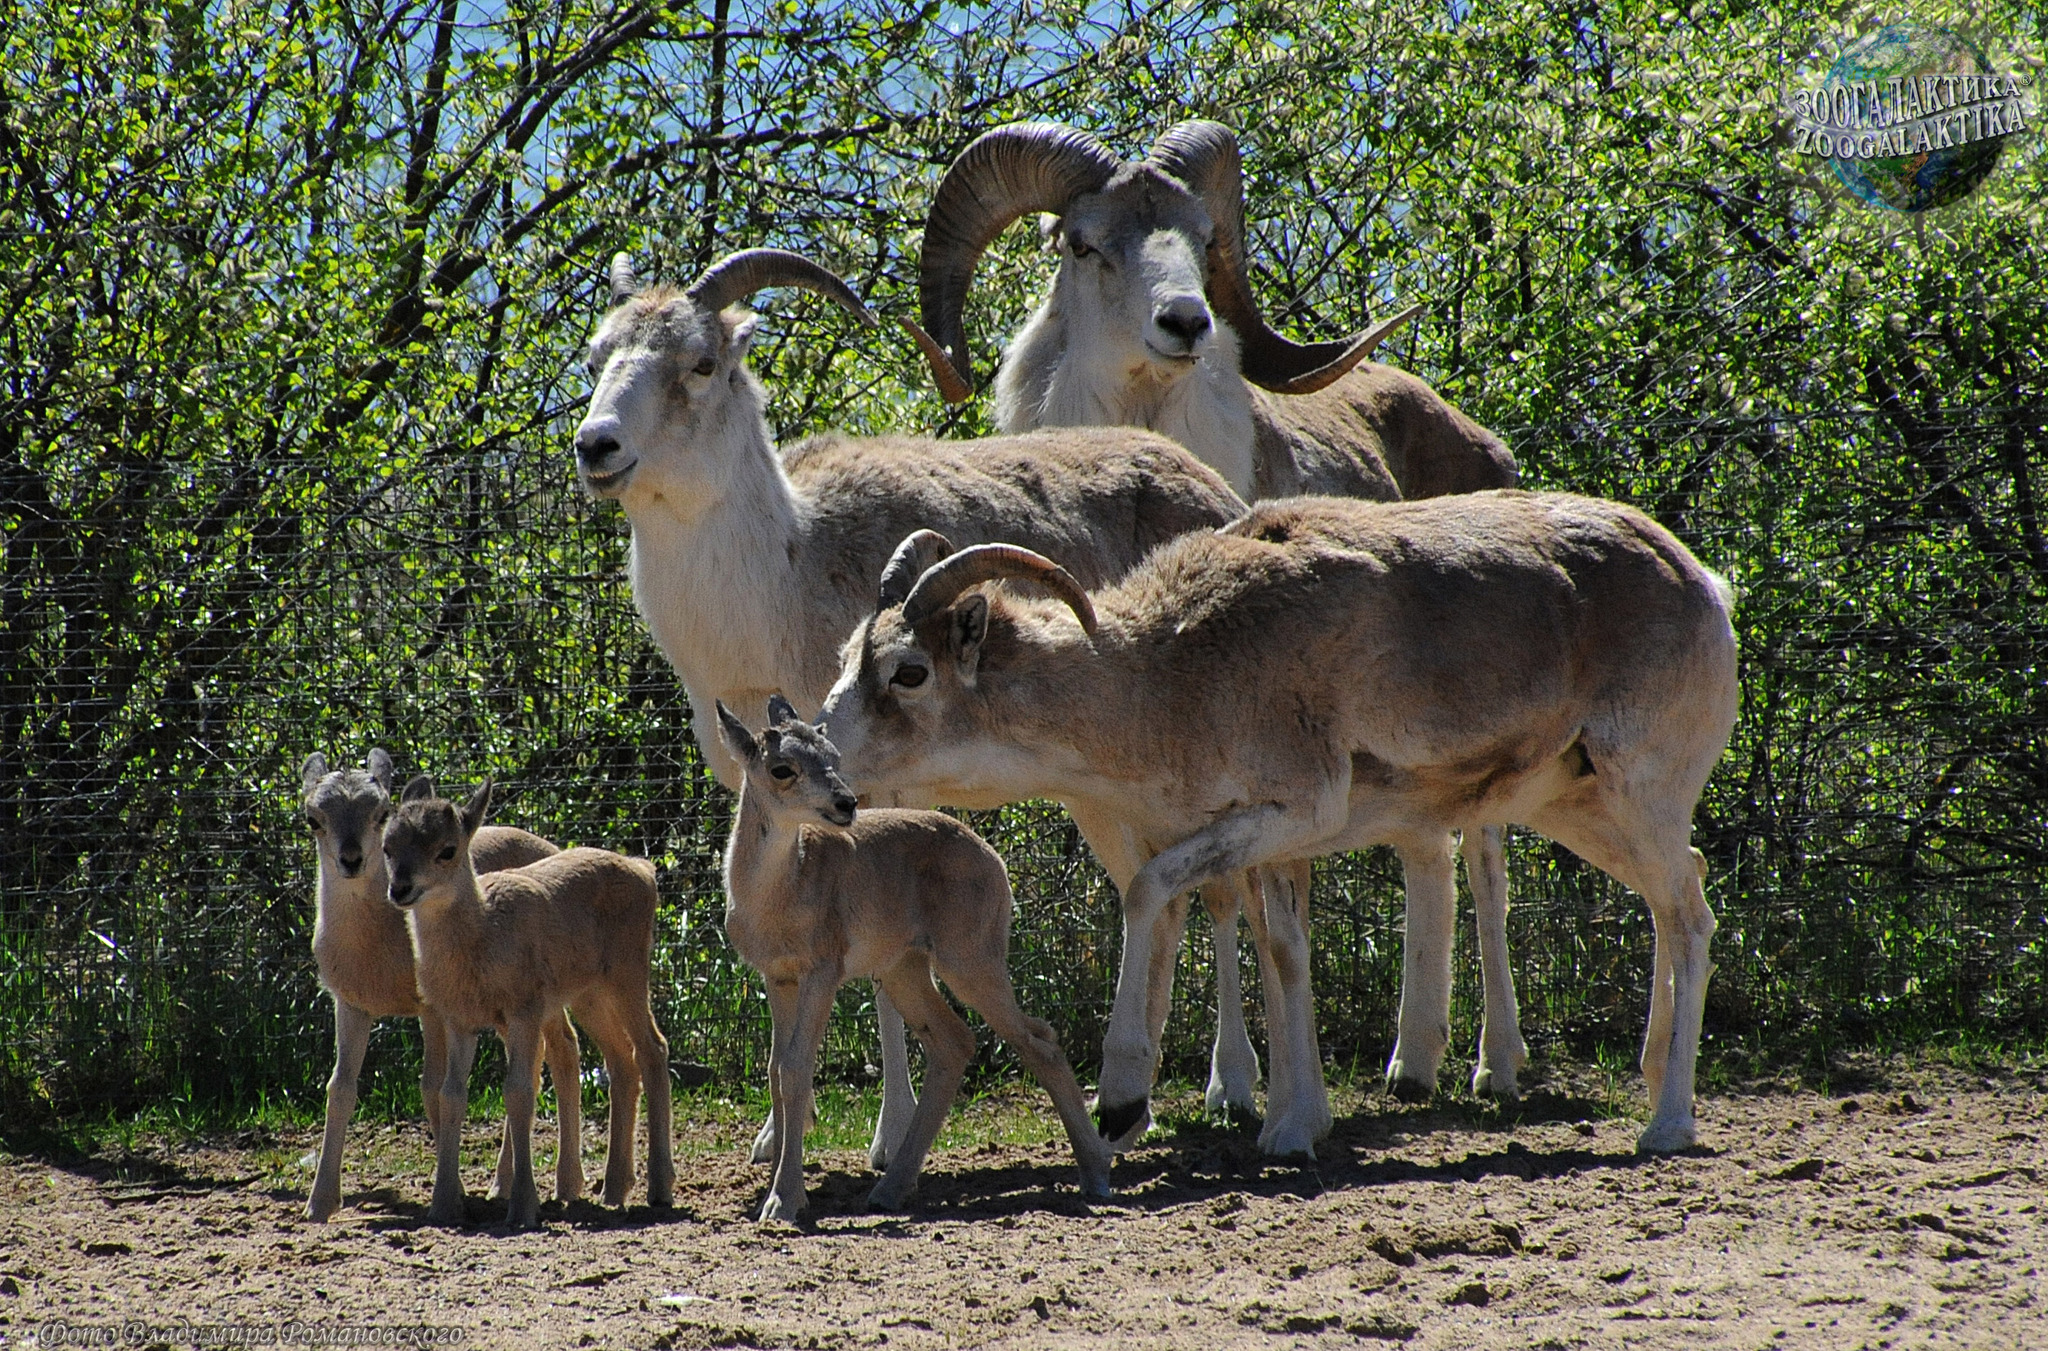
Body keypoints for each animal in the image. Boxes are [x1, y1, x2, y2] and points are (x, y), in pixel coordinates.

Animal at [299, 749, 585, 1228]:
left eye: (381, 814)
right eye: (313, 819)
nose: (351, 859)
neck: (378, 952)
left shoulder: (432, 1008)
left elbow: (432, 1087)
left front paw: (453, 1194)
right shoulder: (350, 1001)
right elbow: (340, 1087)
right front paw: (319, 1203)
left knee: (564, 1048)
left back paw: (567, 1182)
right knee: (536, 1063)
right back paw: (502, 1182)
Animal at [382, 773, 671, 1228]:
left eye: (447, 849)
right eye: (387, 846)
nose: (401, 888)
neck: (483, 940)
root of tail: (646, 870)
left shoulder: (524, 1006)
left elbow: (518, 1089)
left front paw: (522, 1207)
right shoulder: (458, 1017)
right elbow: (450, 1094)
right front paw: (444, 1206)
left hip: (628, 971)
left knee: (653, 1048)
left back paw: (659, 1188)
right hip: (587, 992)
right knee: (621, 1059)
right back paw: (612, 1188)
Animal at [716, 700, 1105, 1219]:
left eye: (832, 755)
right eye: (783, 767)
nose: (845, 803)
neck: (774, 897)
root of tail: (994, 860)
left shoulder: (823, 971)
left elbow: (796, 1068)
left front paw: (783, 1200)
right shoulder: (777, 977)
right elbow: (778, 1069)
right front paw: (775, 1187)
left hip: (970, 960)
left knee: (1038, 1038)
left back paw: (1096, 1174)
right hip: (905, 969)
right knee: (955, 1041)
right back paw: (889, 1187)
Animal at [823, 495, 1736, 1162]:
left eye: (909, 672)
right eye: (845, 658)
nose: (817, 751)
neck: (1174, 672)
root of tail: (1704, 583)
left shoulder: (1287, 816)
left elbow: (1151, 893)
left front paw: (1123, 1100)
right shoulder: (1268, 843)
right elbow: (1283, 953)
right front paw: (1294, 1126)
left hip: (1639, 795)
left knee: (1691, 916)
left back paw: (1666, 1126)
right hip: (1585, 812)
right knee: (1675, 897)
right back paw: (1654, 1072)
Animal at [905, 123, 1531, 1121]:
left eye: (1200, 240)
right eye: (1085, 242)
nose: (1185, 324)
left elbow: (1250, 898)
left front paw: (1249, 1092)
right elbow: (1195, 895)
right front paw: (1199, 1088)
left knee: (1484, 859)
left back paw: (1494, 1066)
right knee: (1428, 855)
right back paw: (1412, 1064)